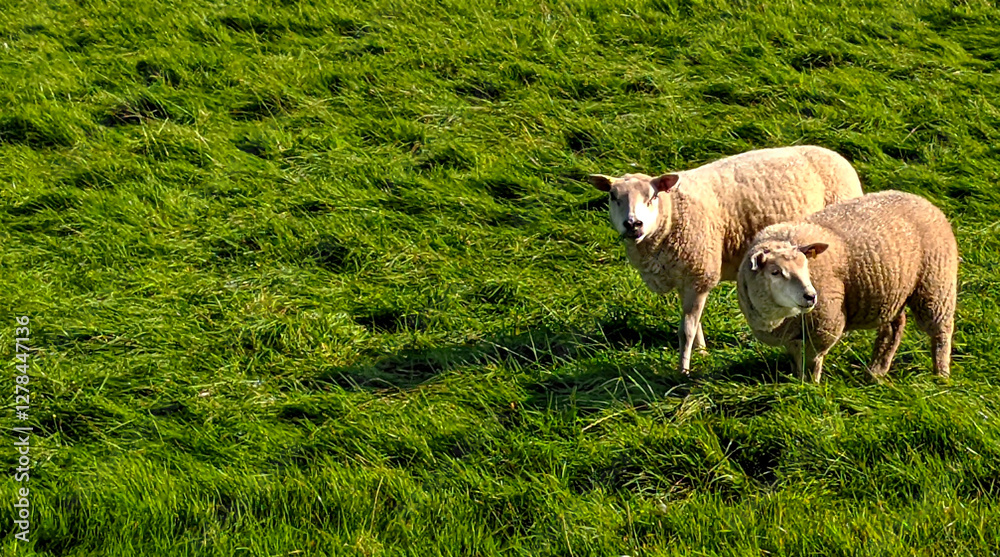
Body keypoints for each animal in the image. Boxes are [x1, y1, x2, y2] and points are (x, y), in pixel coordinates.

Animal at [589, 145, 863, 373]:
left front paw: (684, 369)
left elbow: (686, 329)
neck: (672, 215)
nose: (633, 224)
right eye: (613, 197)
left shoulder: (700, 273)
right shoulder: (685, 277)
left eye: (652, 197)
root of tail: (835, 155)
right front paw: (701, 352)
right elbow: (694, 321)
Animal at [736, 190, 958, 382]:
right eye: (775, 272)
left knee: (941, 330)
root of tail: (923, 200)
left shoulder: (824, 326)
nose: (811, 296)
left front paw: (810, 387)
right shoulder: (792, 336)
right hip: (894, 291)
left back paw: (941, 375)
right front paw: (796, 382)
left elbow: (812, 362)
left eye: (806, 265)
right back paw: (876, 372)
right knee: (894, 327)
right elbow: (797, 360)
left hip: (935, 284)